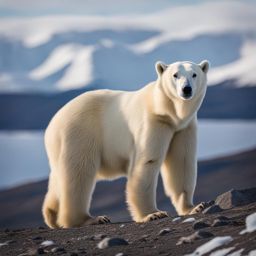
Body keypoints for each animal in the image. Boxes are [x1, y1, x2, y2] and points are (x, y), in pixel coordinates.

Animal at [42, 60, 210, 228]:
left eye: (194, 74)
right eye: (175, 75)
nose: (186, 89)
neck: (166, 111)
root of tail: (52, 125)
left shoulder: (183, 128)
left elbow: (182, 162)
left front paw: (194, 207)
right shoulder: (153, 122)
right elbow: (148, 162)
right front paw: (153, 214)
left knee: (59, 178)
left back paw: (52, 215)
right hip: (80, 132)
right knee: (79, 172)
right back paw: (89, 219)